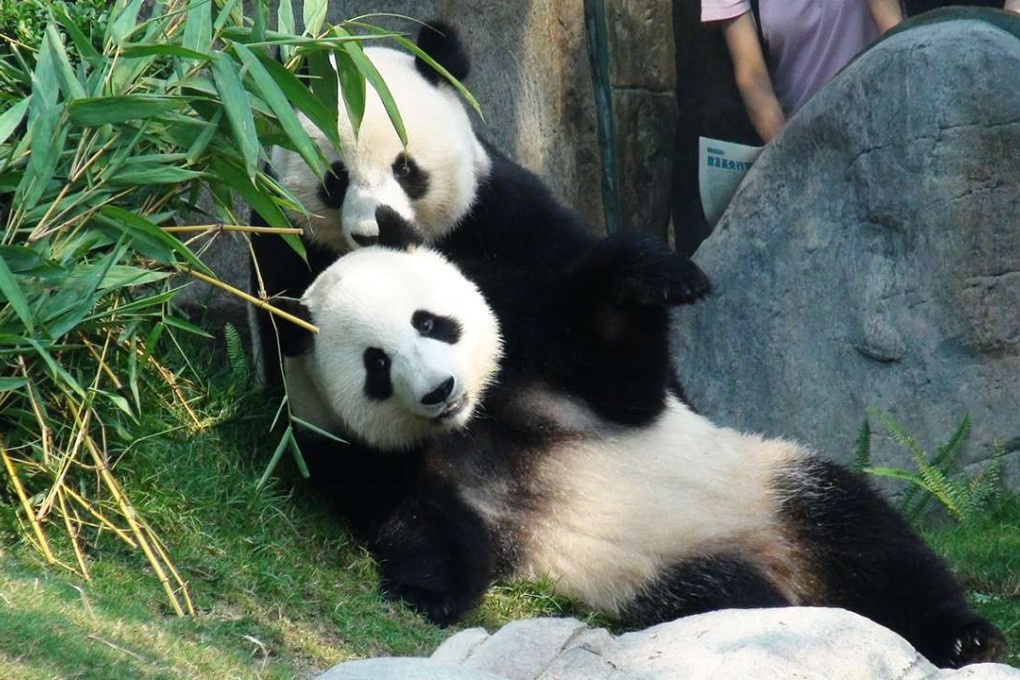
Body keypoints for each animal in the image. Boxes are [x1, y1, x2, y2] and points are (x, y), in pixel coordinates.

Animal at [249, 20, 710, 406]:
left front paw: (660, 275)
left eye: (405, 169)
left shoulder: (501, 212)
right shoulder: (283, 244)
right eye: (335, 178)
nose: (370, 233)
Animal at [284, 245, 1006, 670]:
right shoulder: (371, 457)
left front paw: (656, 278)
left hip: (766, 488)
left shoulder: (541, 358)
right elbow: (421, 519)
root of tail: (782, 567)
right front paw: (426, 591)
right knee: (732, 597)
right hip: (673, 574)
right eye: (377, 364)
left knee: (865, 537)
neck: (472, 425)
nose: (439, 389)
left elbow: (625, 379)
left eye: (431, 322)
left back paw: (966, 637)